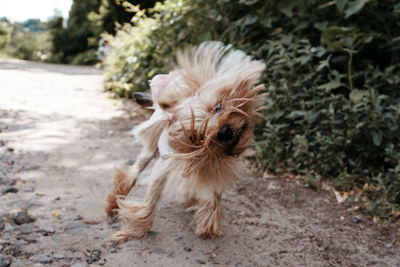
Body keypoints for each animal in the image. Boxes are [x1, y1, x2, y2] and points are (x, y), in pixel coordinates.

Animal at [104, 42, 266, 243]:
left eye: (218, 107)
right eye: (198, 136)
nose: (224, 132)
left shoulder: (213, 164)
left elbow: (212, 189)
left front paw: (209, 218)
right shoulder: (167, 162)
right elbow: (152, 196)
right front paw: (137, 229)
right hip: (150, 149)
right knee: (133, 173)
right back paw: (114, 202)